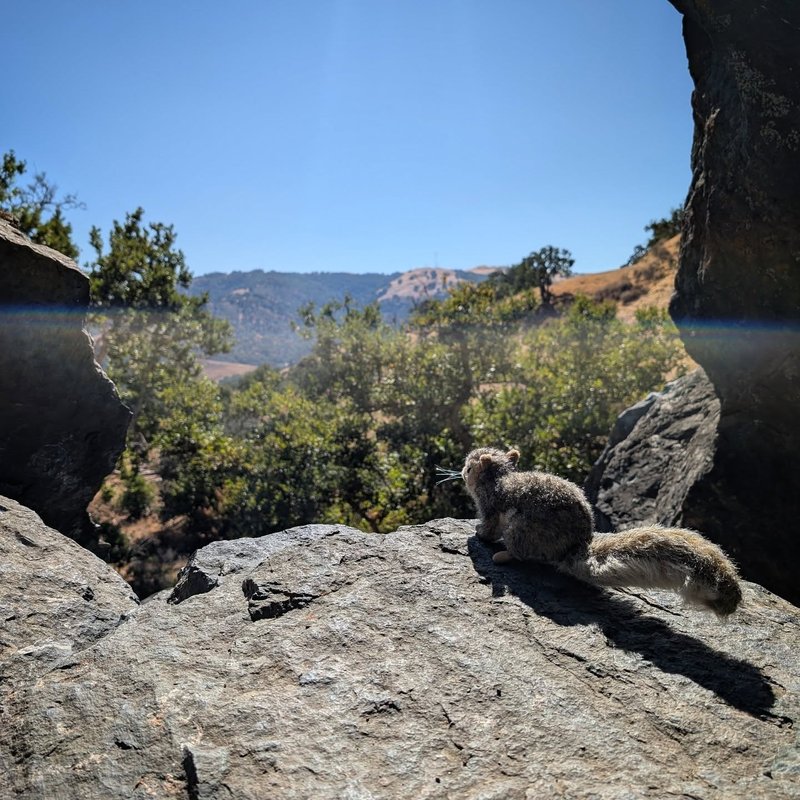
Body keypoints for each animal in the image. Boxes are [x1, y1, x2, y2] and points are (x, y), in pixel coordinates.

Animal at [460, 447, 742, 616]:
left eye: (469, 468)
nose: (461, 472)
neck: (498, 478)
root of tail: (572, 548)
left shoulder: (491, 507)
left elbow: (488, 528)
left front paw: (478, 533)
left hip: (521, 531)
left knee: (524, 555)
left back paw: (503, 555)